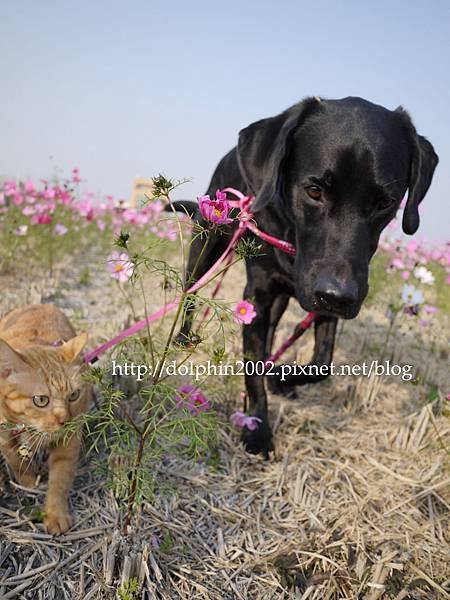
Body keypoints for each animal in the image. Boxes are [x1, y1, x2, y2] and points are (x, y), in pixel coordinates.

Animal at [0, 304, 92, 536]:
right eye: (41, 400)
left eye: (73, 395)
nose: (64, 420)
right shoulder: (3, 435)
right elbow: (15, 459)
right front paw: (28, 481)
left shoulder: (68, 443)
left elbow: (59, 481)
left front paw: (55, 514)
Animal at [171, 96, 436, 458]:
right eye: (313, 191)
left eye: (385, 203)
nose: (338, 296)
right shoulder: (259, 294)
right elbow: (252, 371)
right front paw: (257, 431)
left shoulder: (328, 297)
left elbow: (321, 363)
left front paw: (281, 378)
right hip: (208, 241)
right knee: (191, 291)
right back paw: (183, 337)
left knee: (271, 331)